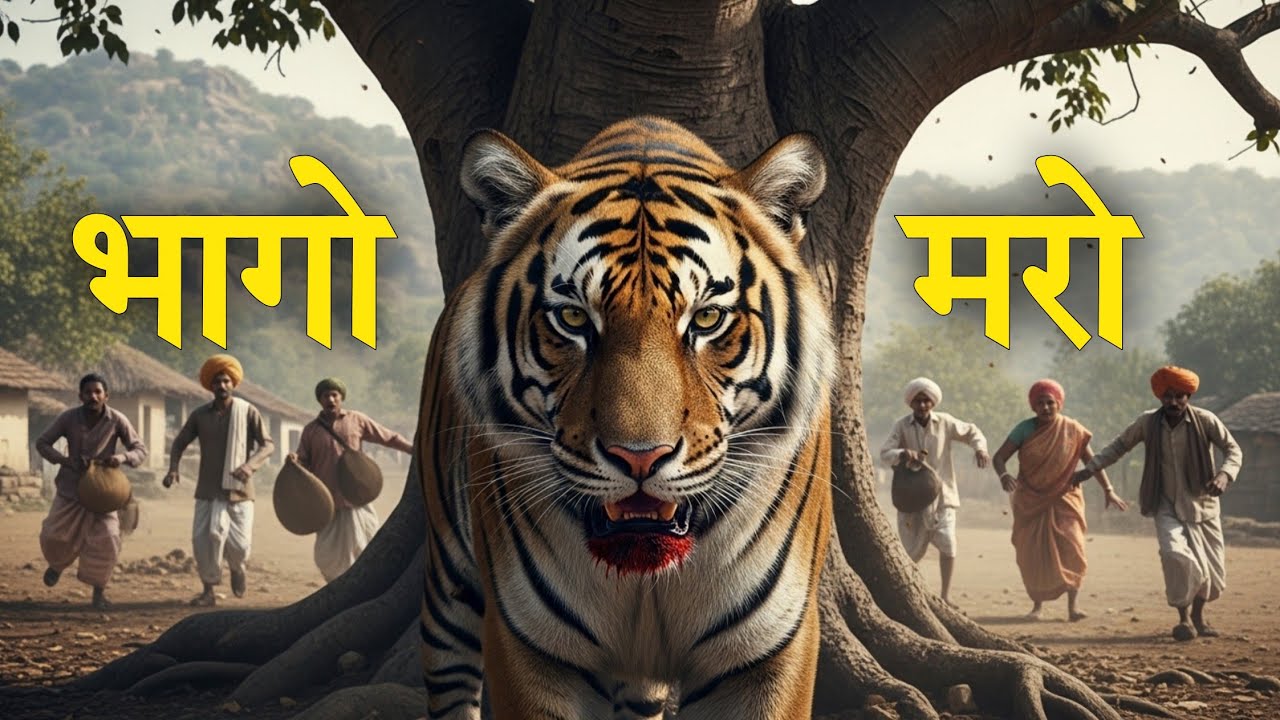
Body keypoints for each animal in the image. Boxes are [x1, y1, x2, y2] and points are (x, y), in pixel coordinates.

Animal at [416, 116, 836, 720]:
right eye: (573, 318)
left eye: (707, 318)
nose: (640, 458)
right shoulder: (530, 650)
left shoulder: (769, 653)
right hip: (450, 590)